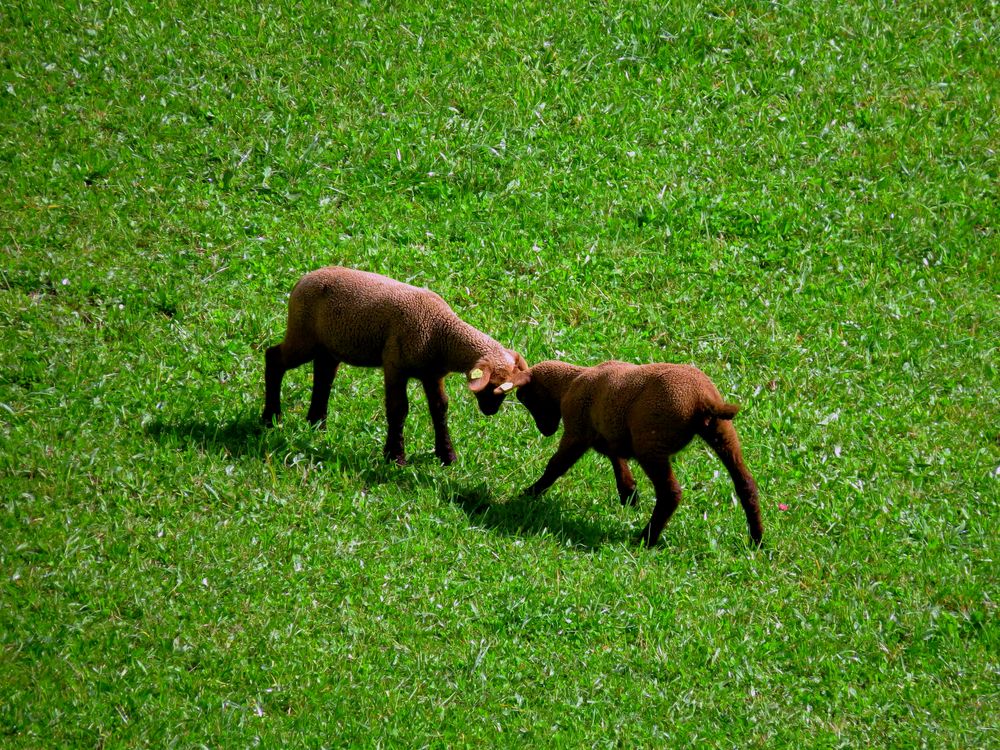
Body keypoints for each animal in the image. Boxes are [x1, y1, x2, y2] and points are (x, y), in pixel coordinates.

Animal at [264, 264, 532, 464]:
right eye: (493, 385)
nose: (490, 411)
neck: (441, 334)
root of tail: (302, 280)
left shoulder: (432, 374)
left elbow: (440, 408)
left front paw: (447, 456)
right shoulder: (395, 365)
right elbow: (398, 408)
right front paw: (395, 457)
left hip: (328, 346)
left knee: (323, 378)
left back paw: (316, 424)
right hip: (303, 335)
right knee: (274, 359)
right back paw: (271, 417)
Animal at [516, 362, 764, 548]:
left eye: (526, 398)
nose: (545, 431)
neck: (569, 382)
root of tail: (701, 399)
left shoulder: (577, 432)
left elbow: (556, 466)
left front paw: (528, 493)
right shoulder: (612, 433)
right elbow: (618, 462)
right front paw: (629, 495)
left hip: (651, 444)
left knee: (670, 493)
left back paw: (646, 539)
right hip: (723, 433)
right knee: (746, 484)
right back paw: (757, 539)